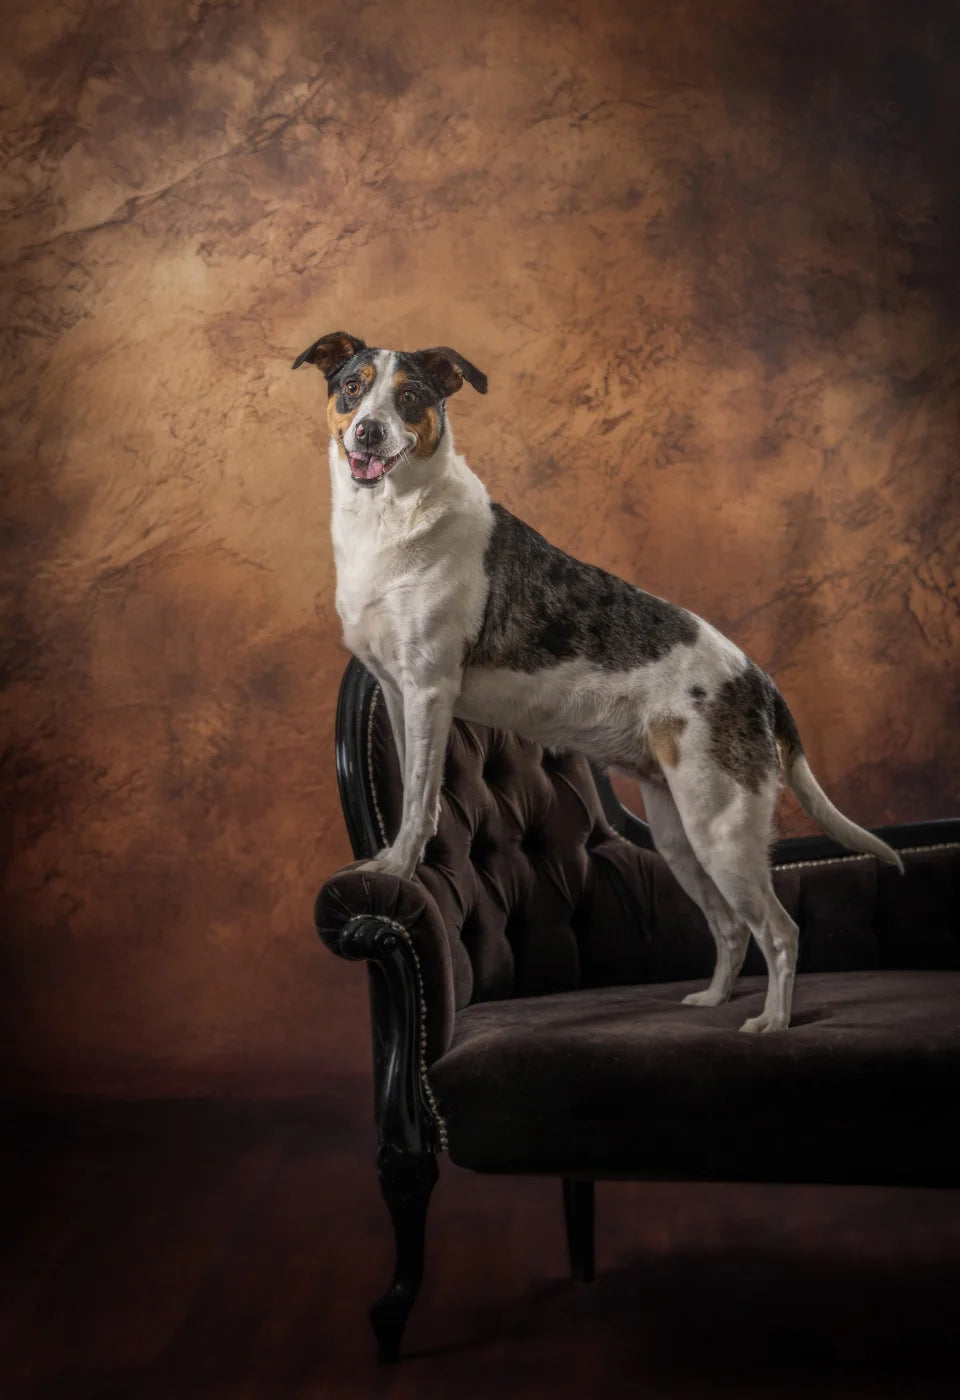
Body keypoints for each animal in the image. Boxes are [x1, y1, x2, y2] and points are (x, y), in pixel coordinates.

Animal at [291, 327, 901, 1030]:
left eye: (411, 397)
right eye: (351, 387)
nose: (368, 432)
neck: (392, 515)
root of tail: (760, 681)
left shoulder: (429, 690)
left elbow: (420, 798)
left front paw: (395, 866)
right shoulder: (395, 692)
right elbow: (410, 791)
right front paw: (398, 857)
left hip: (723, 829)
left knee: (779, 931)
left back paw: (772, 1021)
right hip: (678, 828)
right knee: (728, 927)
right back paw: (714, 999)